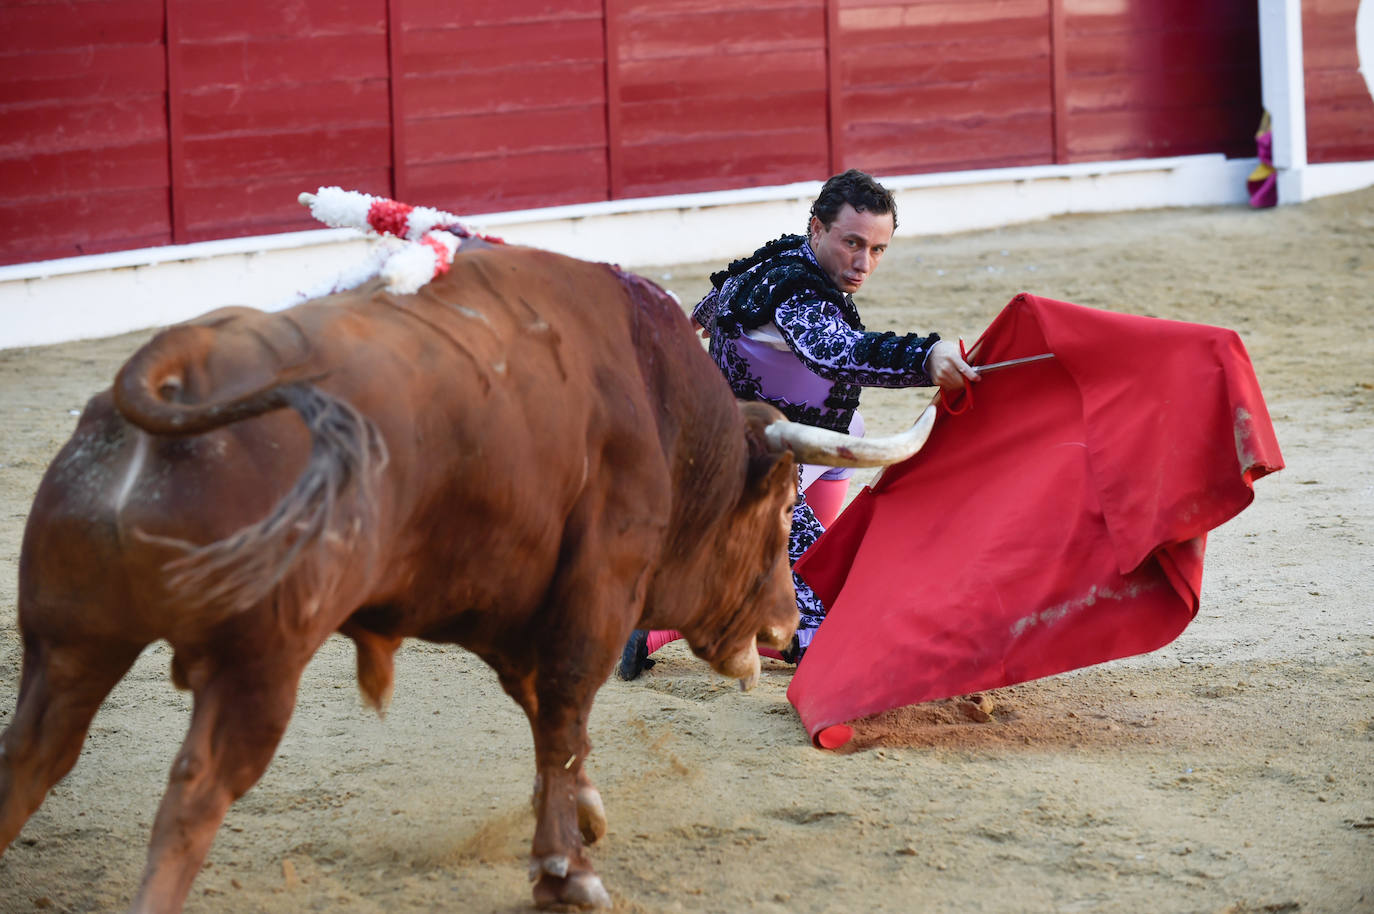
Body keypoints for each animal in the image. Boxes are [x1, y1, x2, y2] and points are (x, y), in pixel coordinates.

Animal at [0, 239, 934, 907]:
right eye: (777, 507)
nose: (781, 624)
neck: (666, 411)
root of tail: (178, 363)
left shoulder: (523, 607)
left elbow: (551, 721)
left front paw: (584, 819)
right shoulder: (596, 591)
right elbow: (565, 714)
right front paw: (566, 872)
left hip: (65, 646)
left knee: (30, 761)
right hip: (256, 663)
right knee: (195, 792)